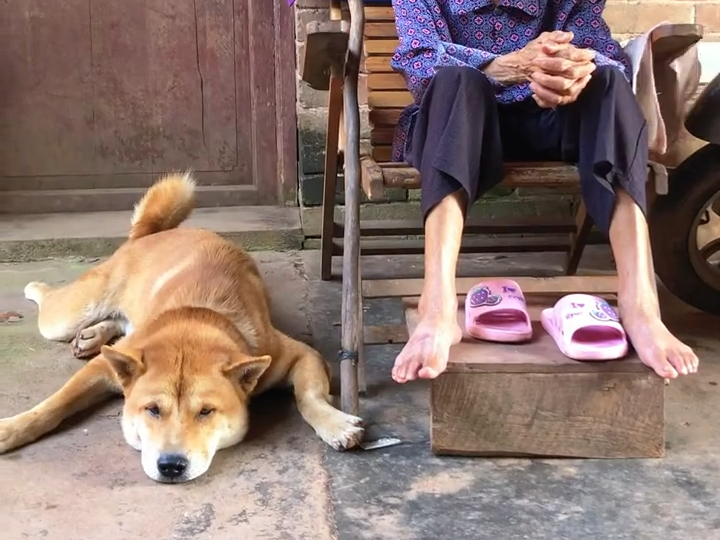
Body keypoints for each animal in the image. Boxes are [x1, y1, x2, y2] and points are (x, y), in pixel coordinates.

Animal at [0, 175, 366, 484]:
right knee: (53, 303)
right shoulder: (105, 366)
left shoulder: (296, 355)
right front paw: (13, 427)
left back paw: (93, 334)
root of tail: (152, 233)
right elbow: (53, 405)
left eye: (206, 411)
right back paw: (41, 292)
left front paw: (334, 423)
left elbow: (309, 396)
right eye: (152, 409)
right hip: (66, 317)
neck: (197, 320)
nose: (171, 465)